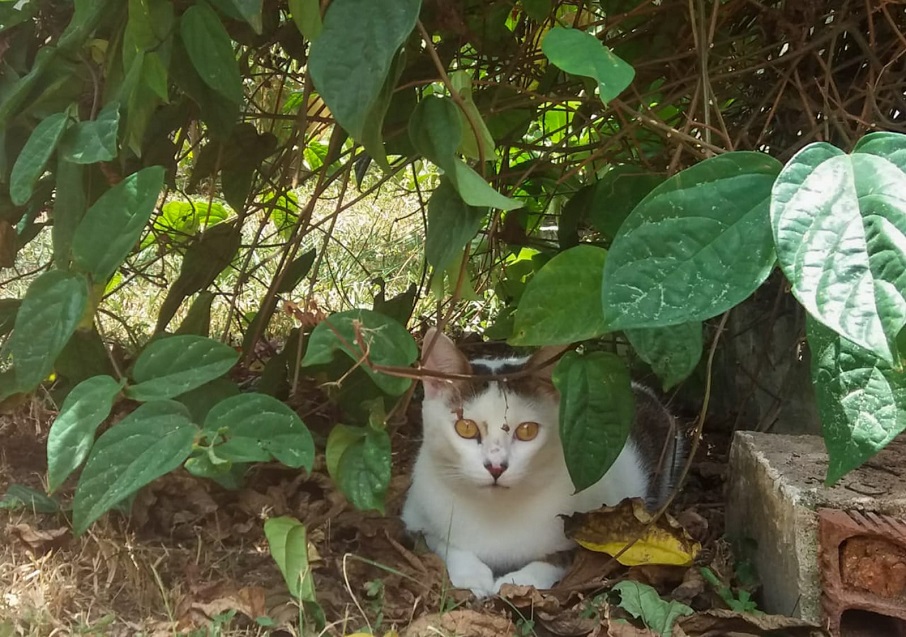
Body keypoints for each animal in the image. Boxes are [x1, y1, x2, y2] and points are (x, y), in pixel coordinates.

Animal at [400, 328, 680, 596]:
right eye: (466, 428)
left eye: (527, 431)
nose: (496, 467)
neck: (496, 513)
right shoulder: (414, 517)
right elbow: (444, 543)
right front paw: (472, 576)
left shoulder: (598, 527)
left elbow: (557, 558)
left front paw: (517, 581)